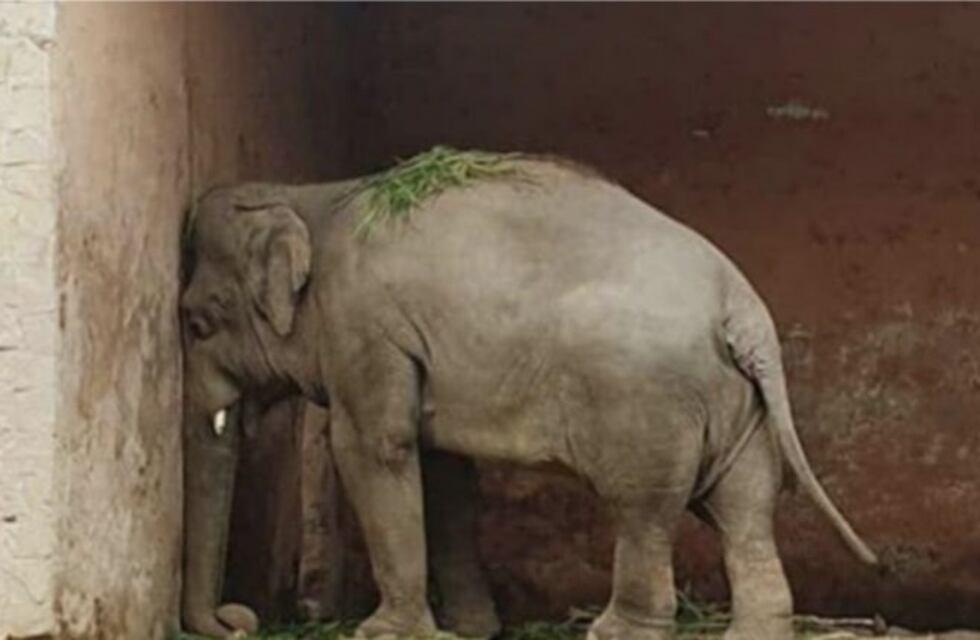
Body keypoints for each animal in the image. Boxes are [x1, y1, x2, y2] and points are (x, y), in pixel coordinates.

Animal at [179, 155, 877, 640]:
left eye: (197, 321)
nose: (237, 619)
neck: (307, 195)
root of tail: (742, 307)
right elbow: (443, 472)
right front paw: (470, 629)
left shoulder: (364, 325)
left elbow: (374, 449)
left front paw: (383, 632)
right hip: (738, 403)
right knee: (746, 506)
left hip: (647, 399)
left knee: (645, 510)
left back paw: (615, 631)